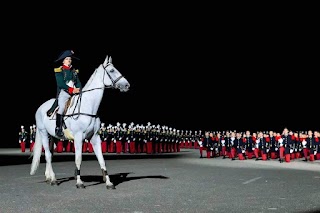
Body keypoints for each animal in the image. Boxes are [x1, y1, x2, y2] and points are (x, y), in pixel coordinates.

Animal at [29, 55, 130, 190]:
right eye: (112, 70)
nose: (127, 85)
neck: (88, 105)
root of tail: (40, 108)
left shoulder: (95, 137)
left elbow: (102, 160)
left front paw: (109, 183)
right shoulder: (78, 138)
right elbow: (78, 159)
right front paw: (79, 182)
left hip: (53, 137)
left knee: (50, 154)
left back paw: (48, 177)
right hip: (43, 133)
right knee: (48, 156)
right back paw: (54, 179)